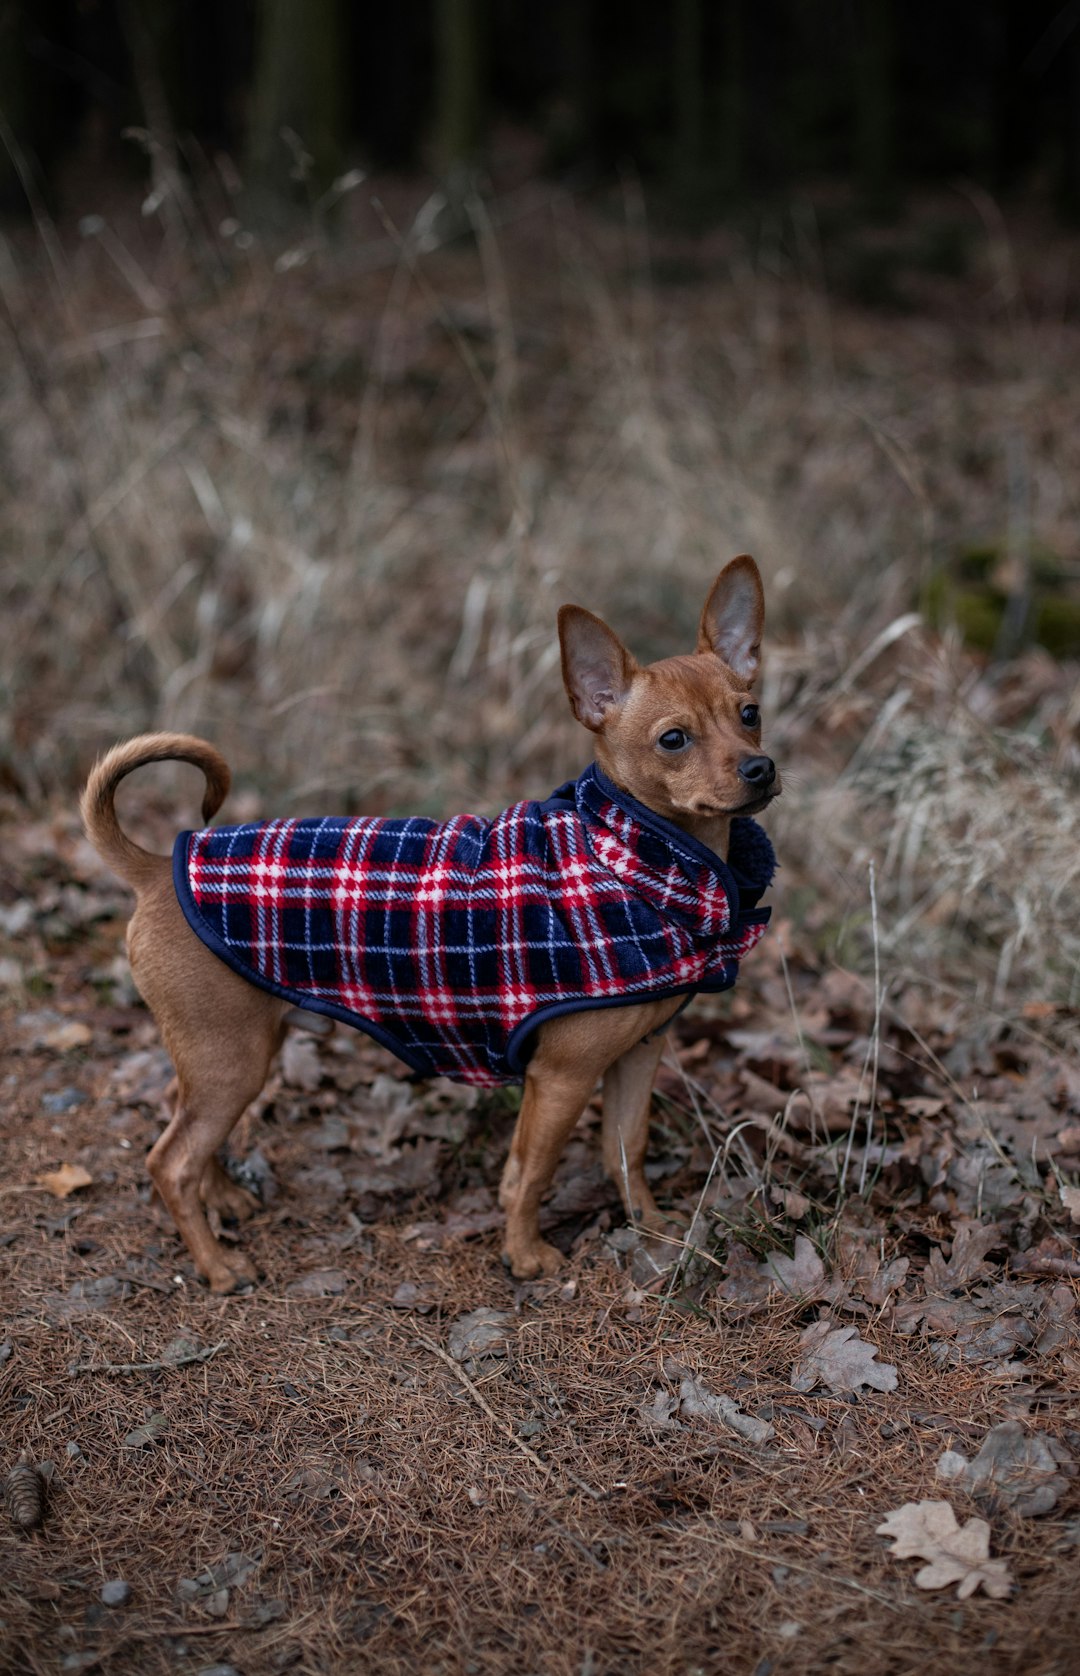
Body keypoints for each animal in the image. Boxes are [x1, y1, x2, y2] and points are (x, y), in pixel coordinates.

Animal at [82, 556, 774, 1287]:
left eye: (750, 714)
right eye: (673, 740)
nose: (761, 767)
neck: (626, 853)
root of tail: (155, 867)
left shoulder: (638, 1057)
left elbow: (627, 1149)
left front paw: (654, 1229)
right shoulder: (560, 1079)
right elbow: (529, 1174)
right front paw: (525, 1254)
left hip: (220, 1060)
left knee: (181, 1126)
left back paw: (223, 1199)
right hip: (231, 1062)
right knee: (169, 1160)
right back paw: (217, 1266)